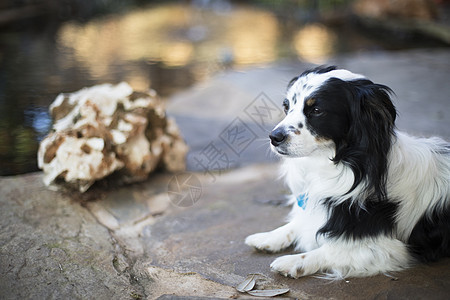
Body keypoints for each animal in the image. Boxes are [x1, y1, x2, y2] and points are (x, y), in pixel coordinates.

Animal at [246, 65, 450, 278]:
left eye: (317, 110)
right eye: (286, 107)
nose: (274, 137)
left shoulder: (389, 249)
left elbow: (331, 250)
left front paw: (292, 261)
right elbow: (299, 222)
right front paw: (268, 237)